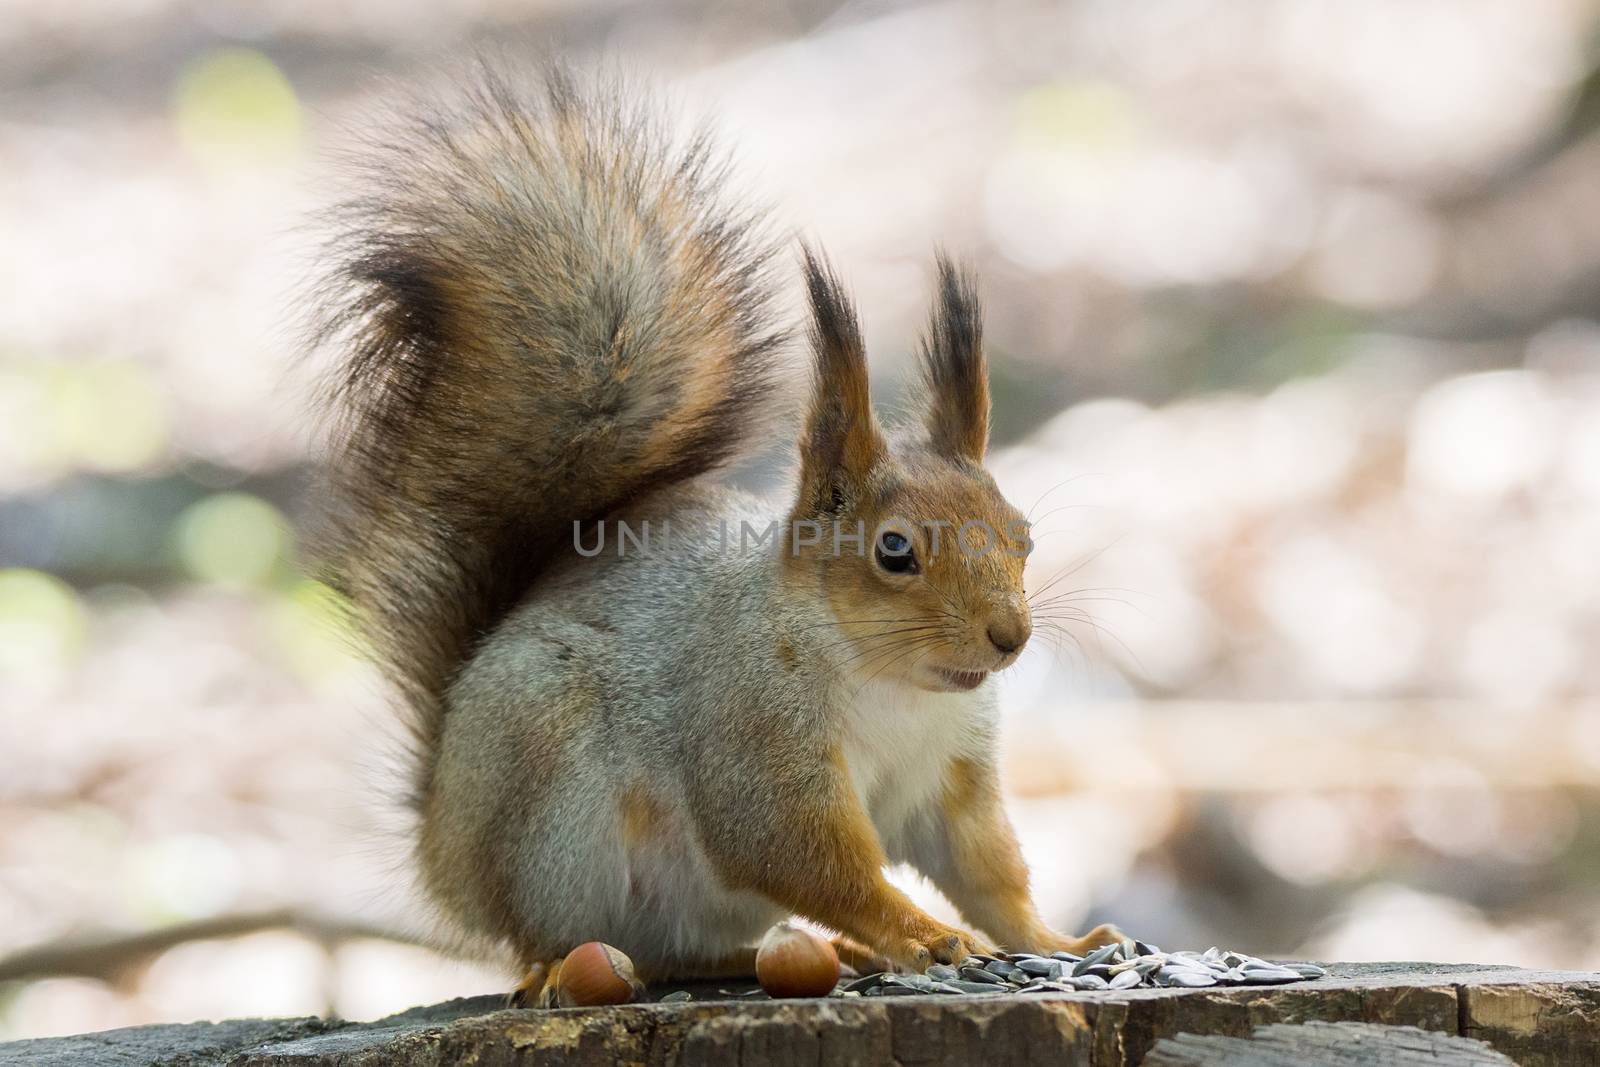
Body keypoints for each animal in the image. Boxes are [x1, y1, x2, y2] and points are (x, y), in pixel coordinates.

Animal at [305, 68, 1120, 1011]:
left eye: (1023, 534)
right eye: (895, 550)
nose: (1010, 635)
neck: (894, 686)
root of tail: (441, 845)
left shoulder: (955, 776)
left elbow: (991, 870)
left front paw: (1066, 941)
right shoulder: (750, 732)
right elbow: (806, 853)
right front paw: (924, 934)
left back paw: (803, 955)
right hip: (546, 790)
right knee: (563, 943)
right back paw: (583, 967)